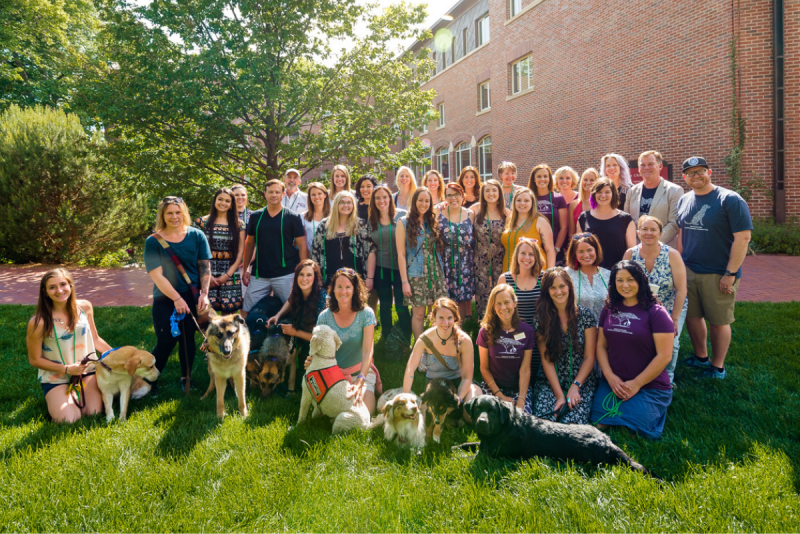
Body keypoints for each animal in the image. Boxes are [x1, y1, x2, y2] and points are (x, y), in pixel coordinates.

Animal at [462, 396, 656, 480]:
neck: (505, 425)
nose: (481, 422)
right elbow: (468, 444)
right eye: (478, 408)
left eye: (492, 411)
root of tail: (608, 442)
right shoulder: (484, 444)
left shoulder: (489, 454)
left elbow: (469, 457)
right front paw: (460, 445)